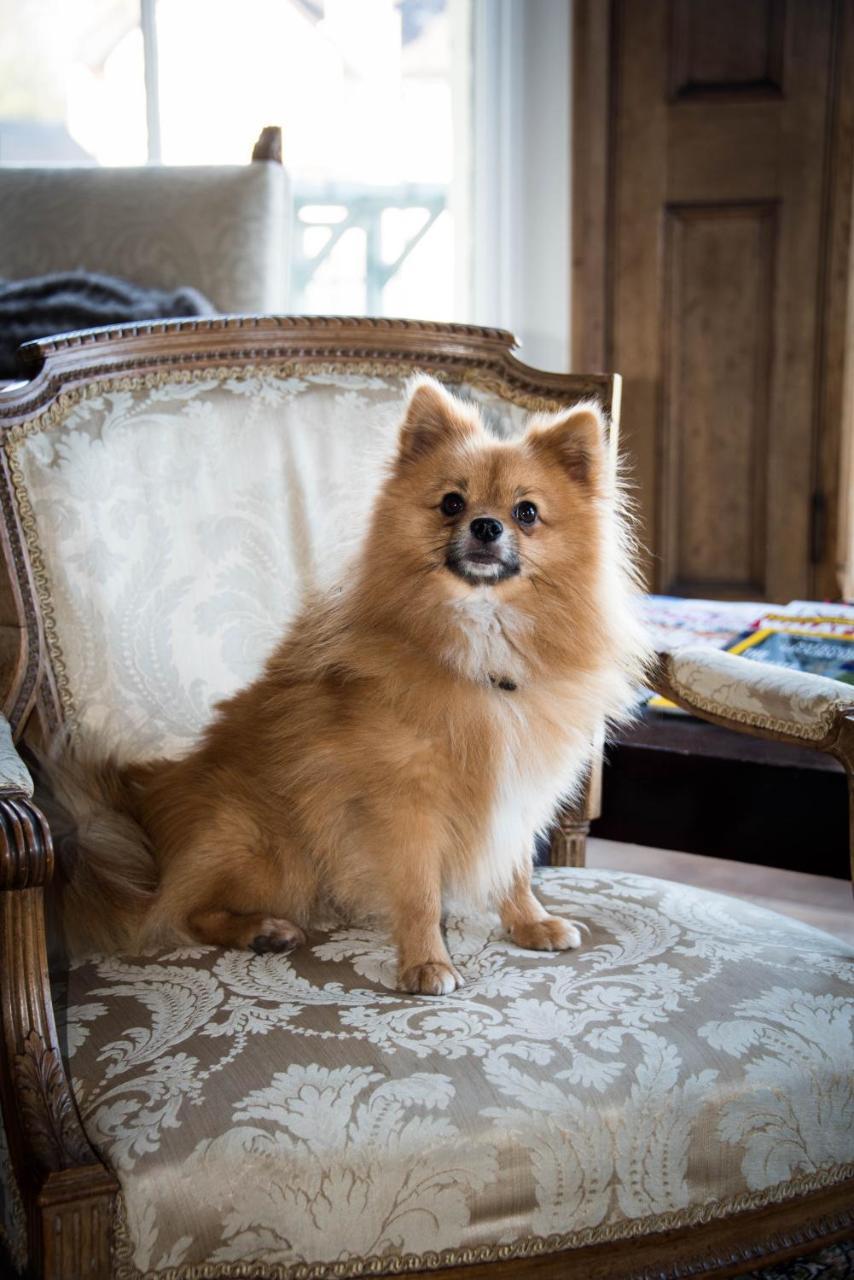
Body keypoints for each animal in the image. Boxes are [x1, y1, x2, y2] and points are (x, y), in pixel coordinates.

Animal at [55, 373, 647, 993]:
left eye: (527, 511)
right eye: (451, 503)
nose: (486, 525)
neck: (481, 653)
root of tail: (146, 801)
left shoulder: (518, 791)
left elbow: (513, 870)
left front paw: (530, 923)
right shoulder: (404, 804)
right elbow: (418, 894)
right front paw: (426, 962)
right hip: (268, 844)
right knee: (179, 912)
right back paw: (261, 929)